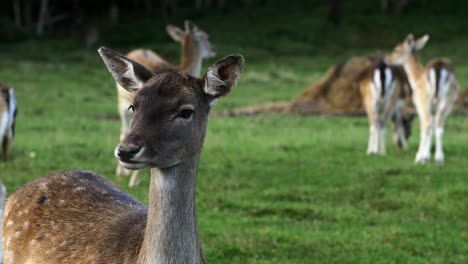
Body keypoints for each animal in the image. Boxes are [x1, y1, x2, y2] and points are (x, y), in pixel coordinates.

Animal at [386, 34, 458, 164]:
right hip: (448, 100)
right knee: (439, 125)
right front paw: (428, 155)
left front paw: (423, 157)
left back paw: (421, 158)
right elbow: (432, 128)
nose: (387, 58)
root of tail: (438, 67)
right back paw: (439, 158)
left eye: (396, 49)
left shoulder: (418, 103)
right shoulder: (433, 108)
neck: (416, 78)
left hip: (425, 100)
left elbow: (425, 128)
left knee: (427, 125)